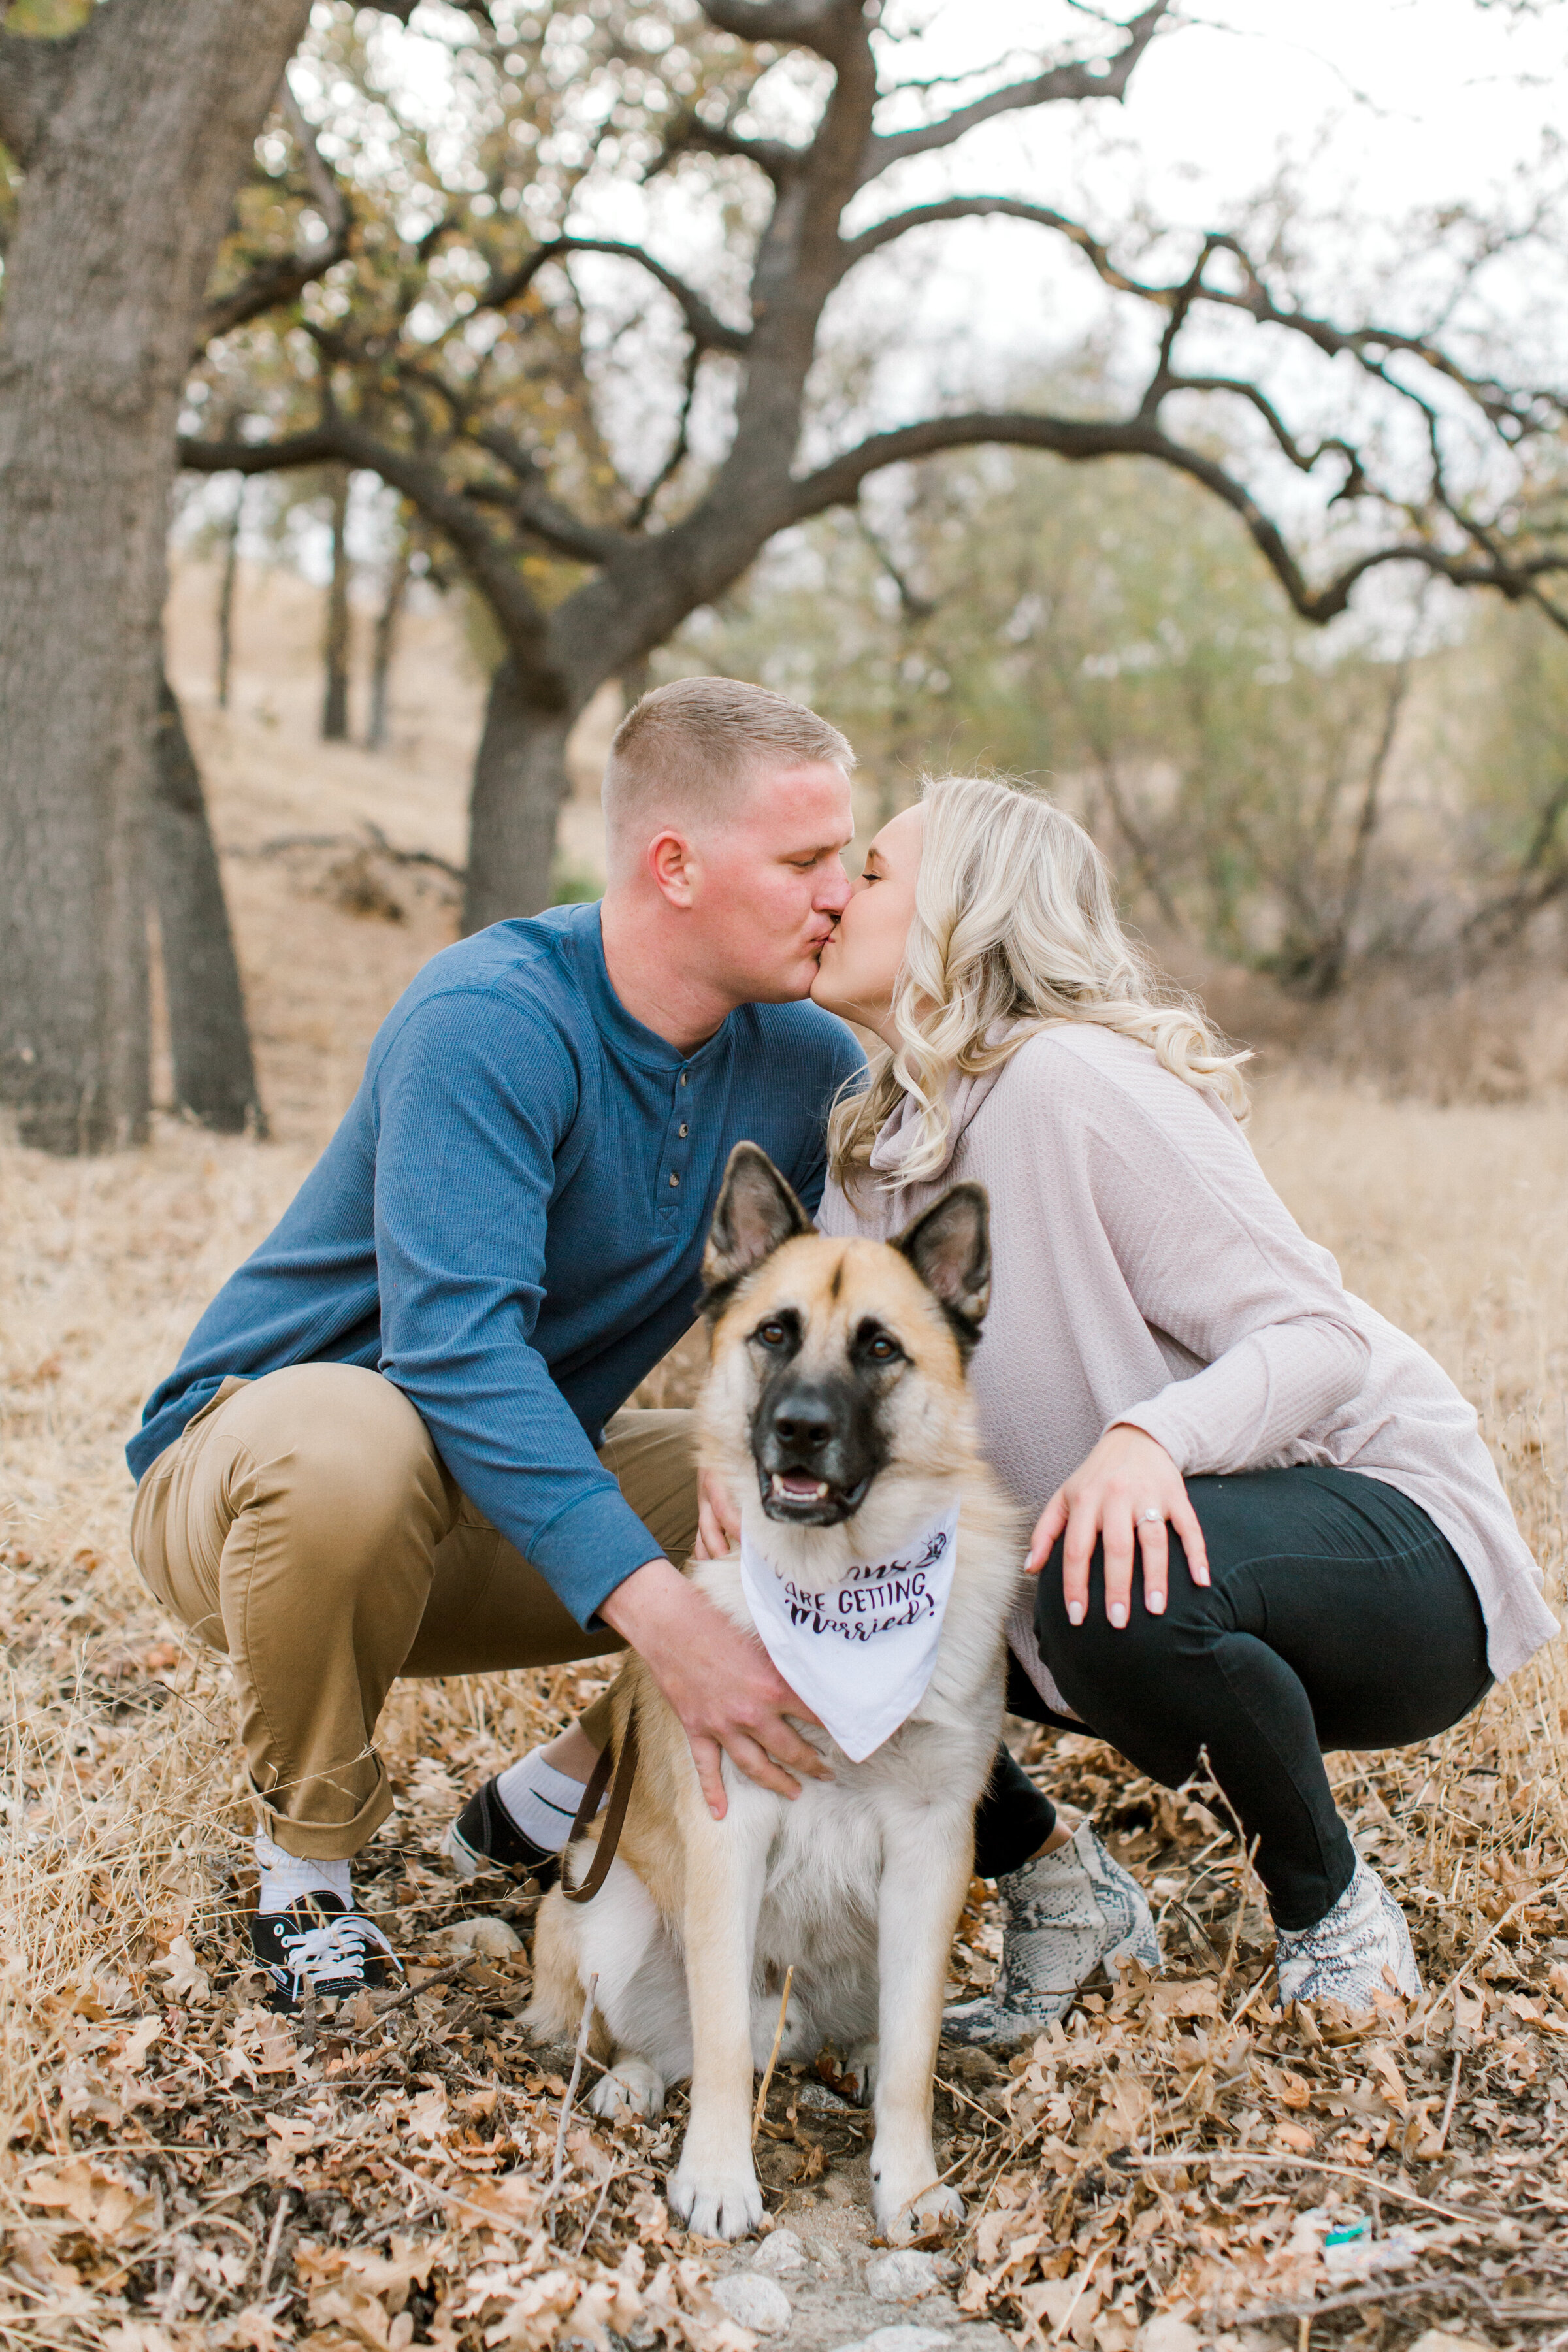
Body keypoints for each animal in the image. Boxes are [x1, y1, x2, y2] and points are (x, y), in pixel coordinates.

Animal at [526, 1138, 1020, 2239]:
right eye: (775, 1335)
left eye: (880, 1349)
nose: (797, 1430)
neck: (842, 1590)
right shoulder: (730, 1836)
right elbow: (713, 2043)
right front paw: (717, 2176)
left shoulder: (931, 1853)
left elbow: (917, 2051)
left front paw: (906, 2180)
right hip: (609, 1900)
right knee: (645, 2037)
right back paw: (629, 2082)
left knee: (874, 2033)